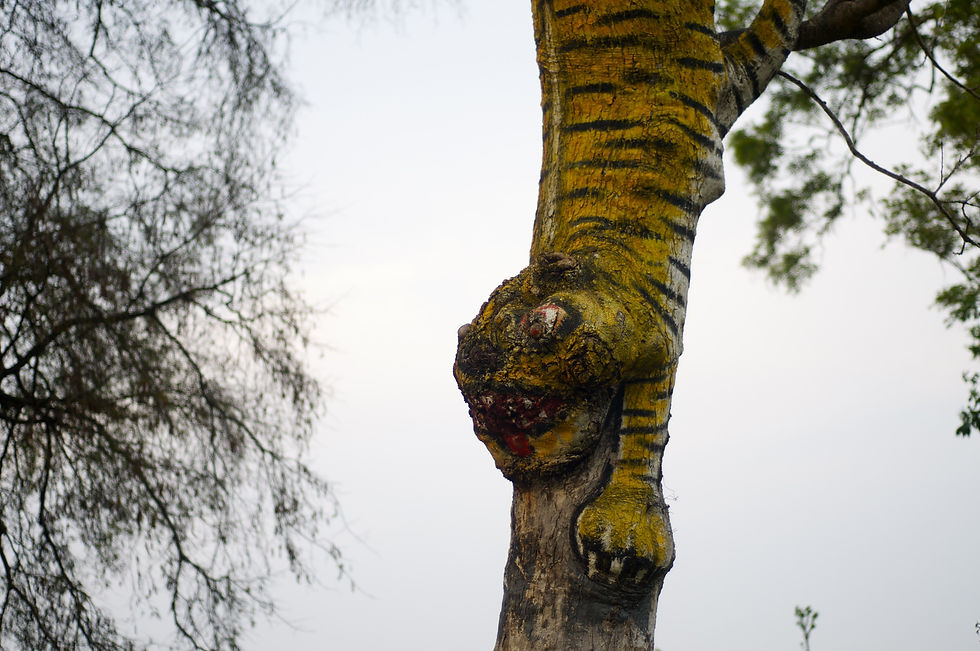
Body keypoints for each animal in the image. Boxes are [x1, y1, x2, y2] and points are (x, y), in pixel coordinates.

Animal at [455, 0, 807, 591]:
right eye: (464, 369)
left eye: (538, 326)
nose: (491, 390)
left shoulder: (651, 333)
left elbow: (647, 424)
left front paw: (627, 534)